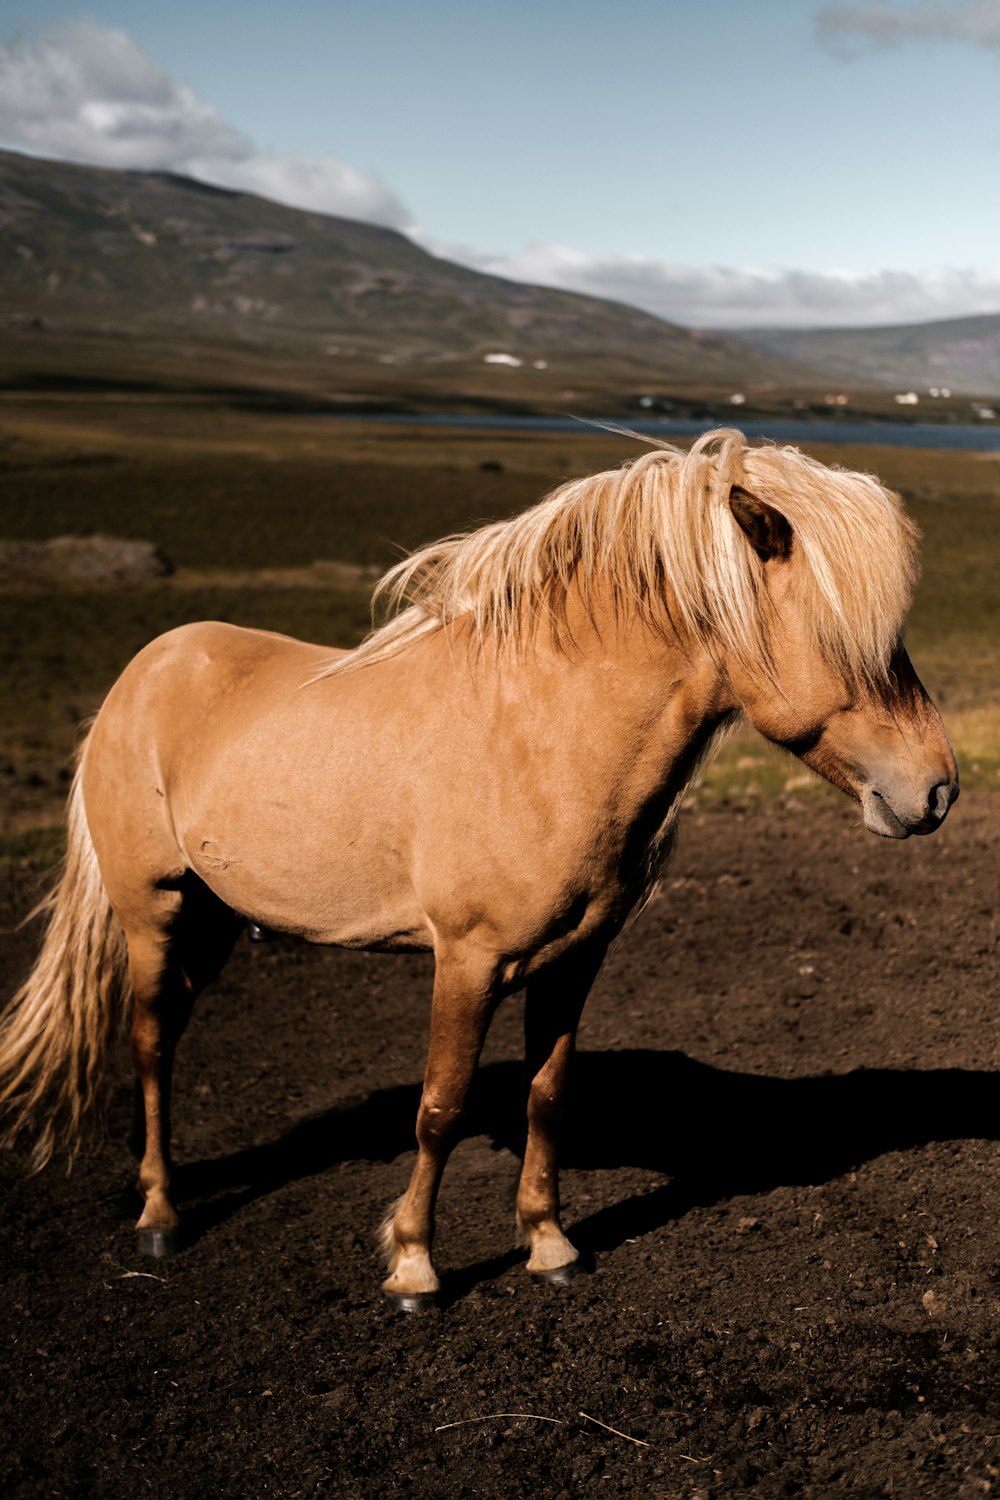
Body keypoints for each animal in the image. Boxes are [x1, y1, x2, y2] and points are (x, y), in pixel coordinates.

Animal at [0, 429, 959, 1308]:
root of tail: (145, 668)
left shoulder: (575, 959)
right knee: (151, 1041)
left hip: (215, 917)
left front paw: (550, 1244)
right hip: (152, 910)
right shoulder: (466, 961)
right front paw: (414, 1267)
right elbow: (441, 1108)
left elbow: (548, 1096)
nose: (938, 790)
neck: (543, 735)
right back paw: (160, 1214)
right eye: (842, 636)